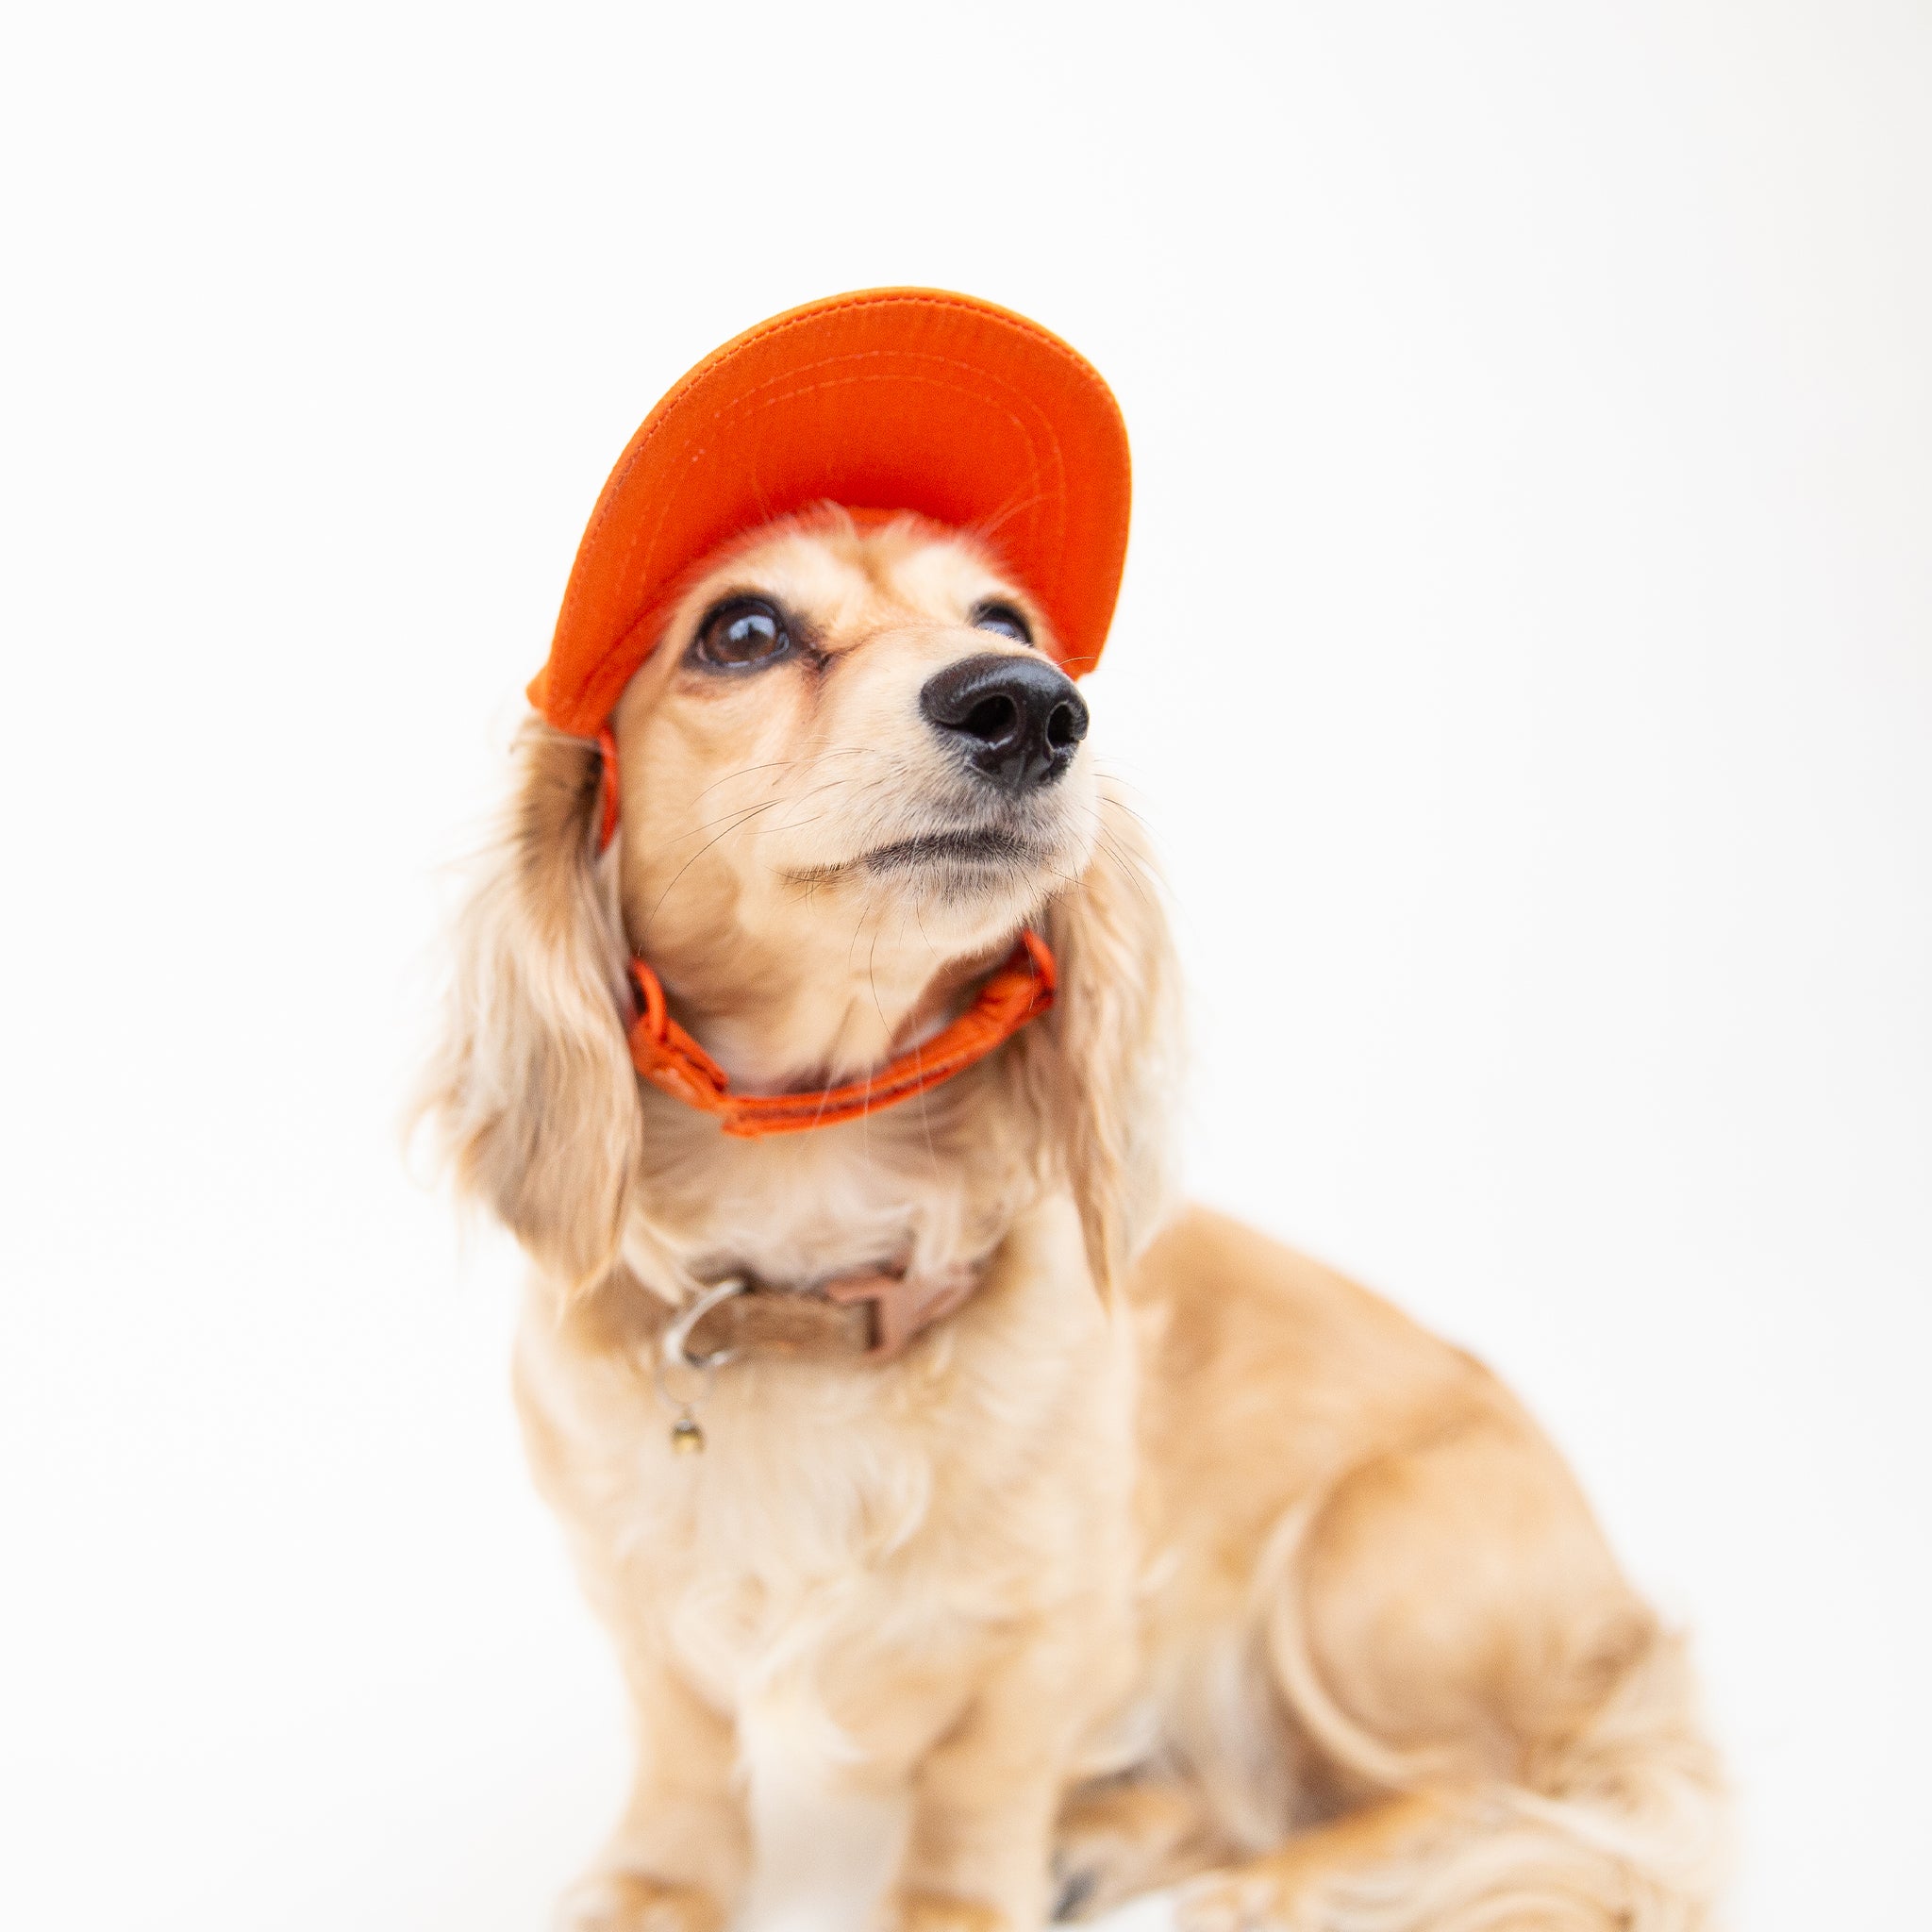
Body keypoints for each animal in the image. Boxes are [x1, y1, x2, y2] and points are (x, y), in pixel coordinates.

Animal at [423, 509, 1723, 1932]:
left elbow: (978, 1790)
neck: (817, 1261)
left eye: (1006, 623)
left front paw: (954, 1908)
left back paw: (1259, 1890)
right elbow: (686, 1761)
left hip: (1359, 1562)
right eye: (741, 630)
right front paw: (658, 1887)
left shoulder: (1052, 1627)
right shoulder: (644, 1610)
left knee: (1475, 1788)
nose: (1030, 708)